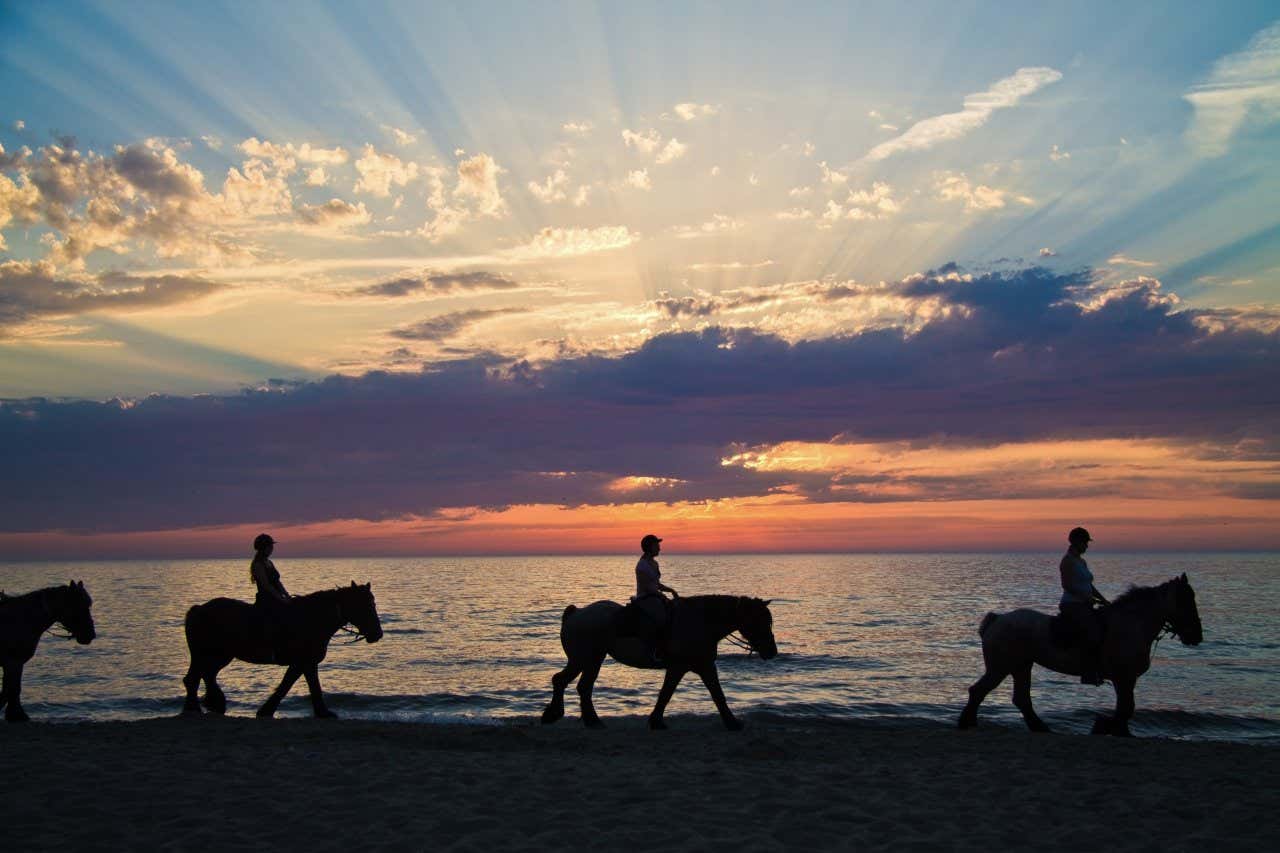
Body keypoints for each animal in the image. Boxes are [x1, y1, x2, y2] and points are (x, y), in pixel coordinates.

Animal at [0, 578, 95, 717]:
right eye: (79, 605)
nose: (90, 634)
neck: (20, 619)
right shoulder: (13, 662)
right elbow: (12, 690)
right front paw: (17, 714)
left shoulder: (14, 663)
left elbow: (9, 691)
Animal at [181, 578, 378, 717]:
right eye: (365, 605)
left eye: (373, 603)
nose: (377, 634)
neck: (312, 619)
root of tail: (198, 609)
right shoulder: (304, 662)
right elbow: (298, 686)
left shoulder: (304, 663)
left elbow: (299, 685)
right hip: (208, 654)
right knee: (195, 678)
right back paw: (196, 708)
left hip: (219, 655)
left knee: (205, 675)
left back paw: (212, 704)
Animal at [542, 591, 778, 732]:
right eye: (759, 621)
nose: (772, 651)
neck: (699, 621)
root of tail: (575, 614)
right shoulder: (684, 667)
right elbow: (672, 694)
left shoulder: (699, 666)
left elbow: (710, 694)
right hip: (583, 659)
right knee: (562, 681)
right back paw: (554, 714)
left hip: (593, 660)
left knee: (582, 686)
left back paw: (592, 720)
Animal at [957, 573, 1203, 732]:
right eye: (1185, 600)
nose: (1196, 636)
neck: (1132, 624)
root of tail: (997, 620)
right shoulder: (1123, 678)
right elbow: (1125, 708)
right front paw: (1106, 726)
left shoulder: (1126, 679)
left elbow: (1125, 709)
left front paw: (1114, 729)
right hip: (1002, 667)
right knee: (979, 691)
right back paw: (967, 722)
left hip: (1021, 666)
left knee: (1020, 698)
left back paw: (1039, 727)